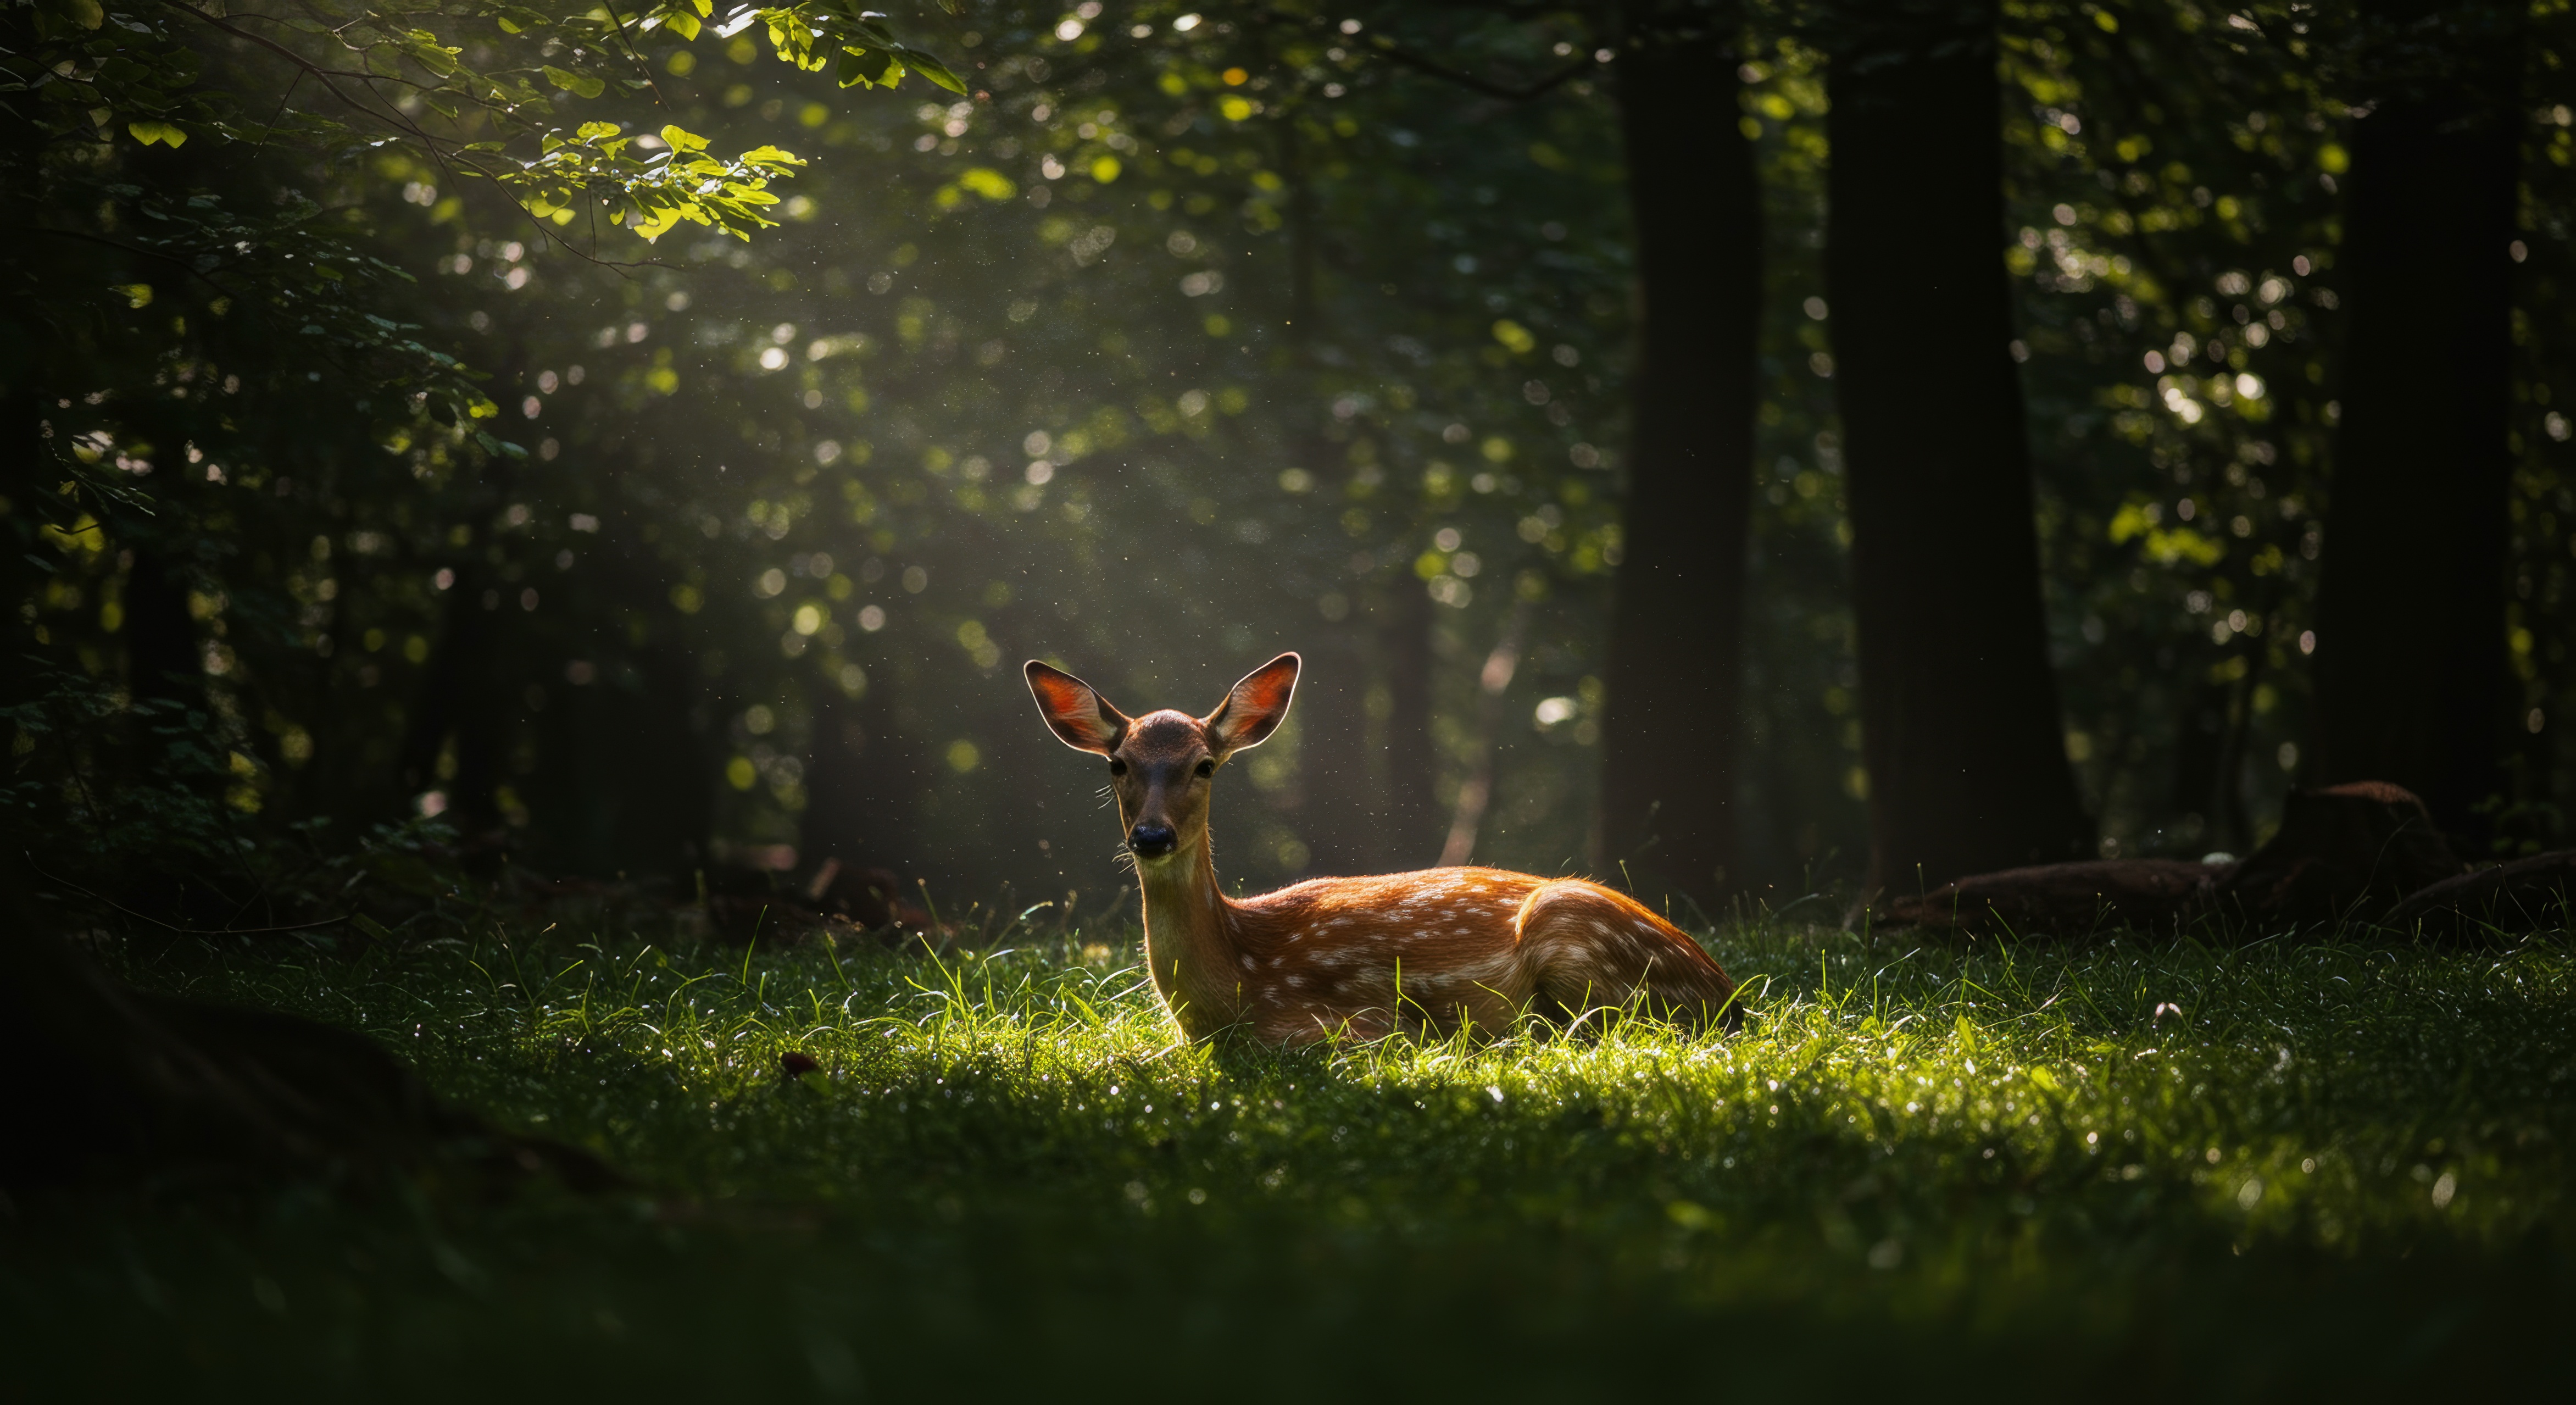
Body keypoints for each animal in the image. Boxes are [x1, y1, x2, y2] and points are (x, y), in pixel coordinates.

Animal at [1025, 651, 1742, 1046]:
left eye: (1204, 765)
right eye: (1117, 763)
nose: (1151, 835)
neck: (1233, 984)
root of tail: (1726, 993)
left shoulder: (1348, 1027)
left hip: (1574, 932)